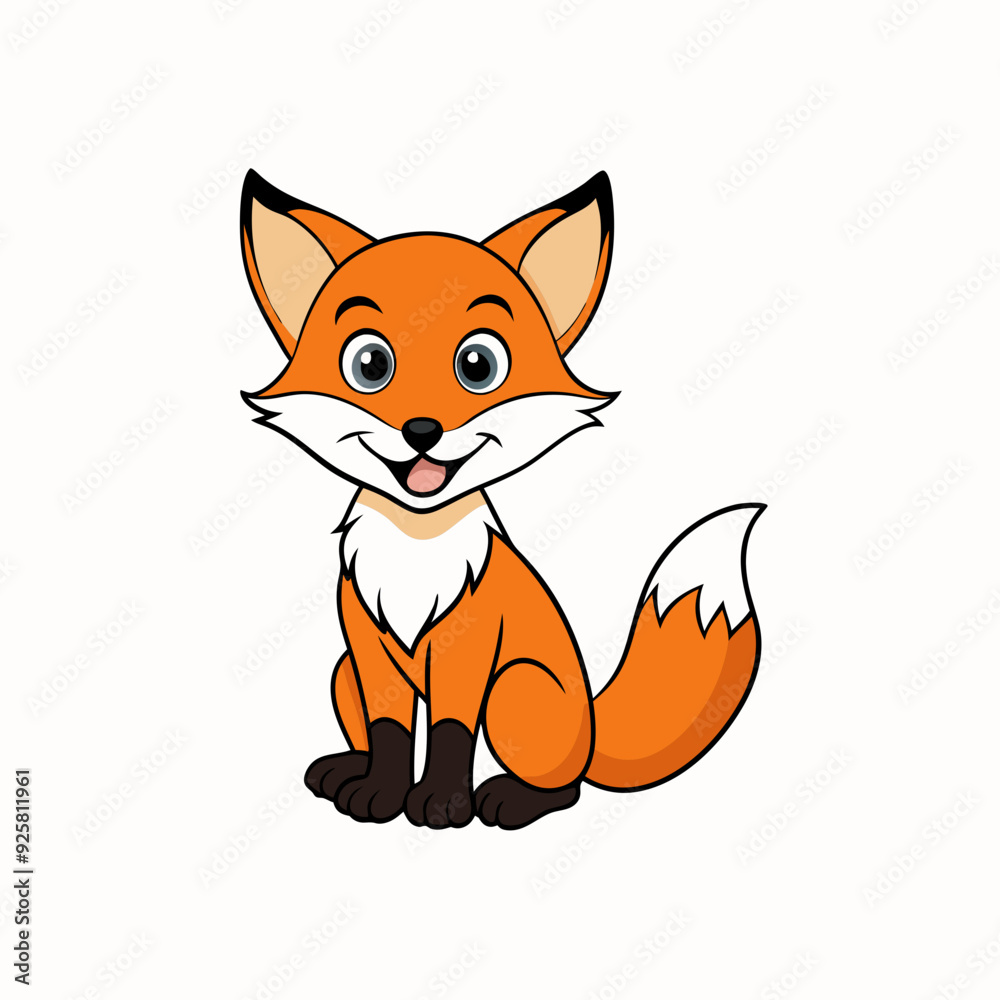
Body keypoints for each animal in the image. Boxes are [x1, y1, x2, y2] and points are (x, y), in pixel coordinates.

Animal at [238, 168, 764, 830]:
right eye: (370, 363)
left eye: (478, 364)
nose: (422, 430)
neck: (416, 544)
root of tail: (594, 728)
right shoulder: (367, 646)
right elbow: (390, 733)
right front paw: (380, 793)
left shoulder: (469, 648)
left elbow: (450, 732)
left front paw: (441, 803)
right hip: (341, 672)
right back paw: (344, 769)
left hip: (518, 688)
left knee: (567, 787)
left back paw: (514, 799)